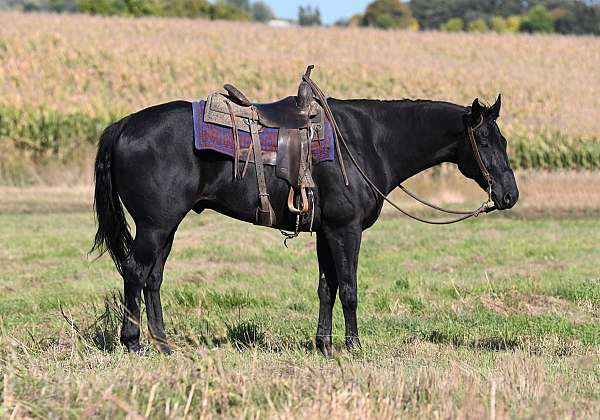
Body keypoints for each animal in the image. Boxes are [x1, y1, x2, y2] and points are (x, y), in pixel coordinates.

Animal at [91, 93, 516, 352]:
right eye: (485, 141)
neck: (367, 142)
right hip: (154, 226)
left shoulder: (326, 232)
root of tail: (124, 125)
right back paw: (133, 342)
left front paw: (324, 345)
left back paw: (163, 344)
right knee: (135, 271)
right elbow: (349, 289)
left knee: (152, 278)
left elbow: (327, 288)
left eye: (505, 141)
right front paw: (353, 346)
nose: (510, 195)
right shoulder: (346, 230)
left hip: (166, 227)